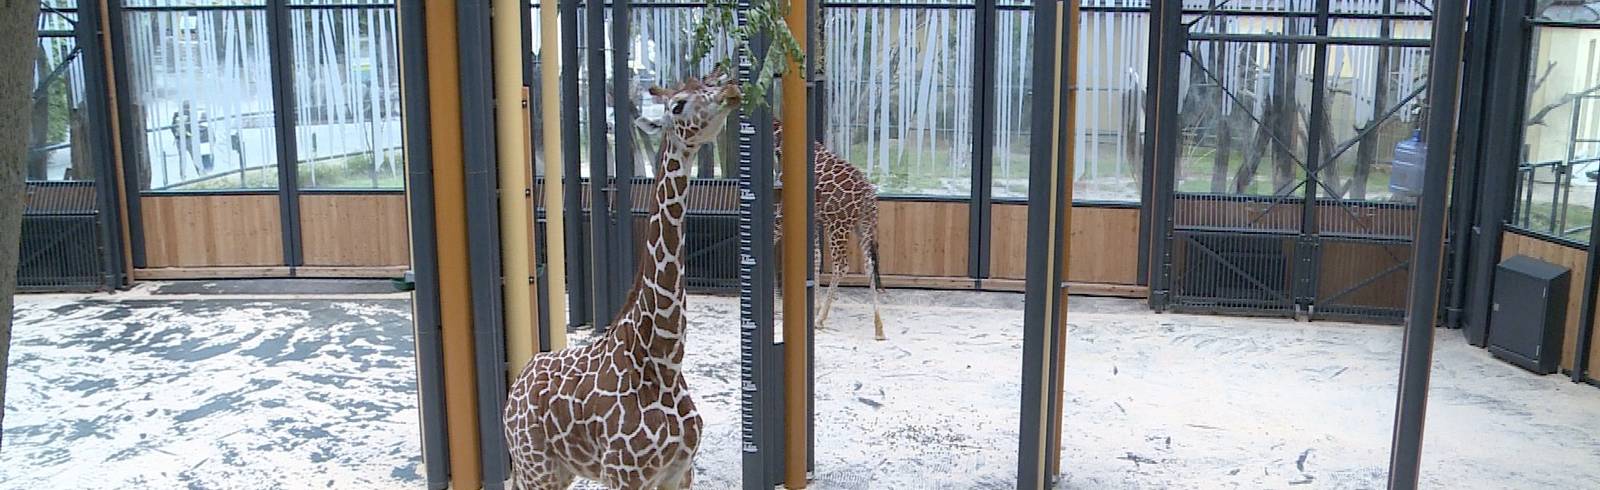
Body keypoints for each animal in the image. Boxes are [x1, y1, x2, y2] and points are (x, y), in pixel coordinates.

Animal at [502, 70, 739, 490]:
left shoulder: (680, 471)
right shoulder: (624, 475)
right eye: (677, 105)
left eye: (712, 82)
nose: (731, 91)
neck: (664, 360)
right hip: (536, 469)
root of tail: (515, 389)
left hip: (558, 470)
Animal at [771, 120, 889, 341]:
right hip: (863, 226)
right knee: (869, 264)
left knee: (841, 265)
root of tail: (869, 195)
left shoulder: (783, 213)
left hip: (839, 225)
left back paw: (821, 320)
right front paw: (814, 306)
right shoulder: (815, 218)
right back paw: (879, 328)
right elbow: (816, 257)